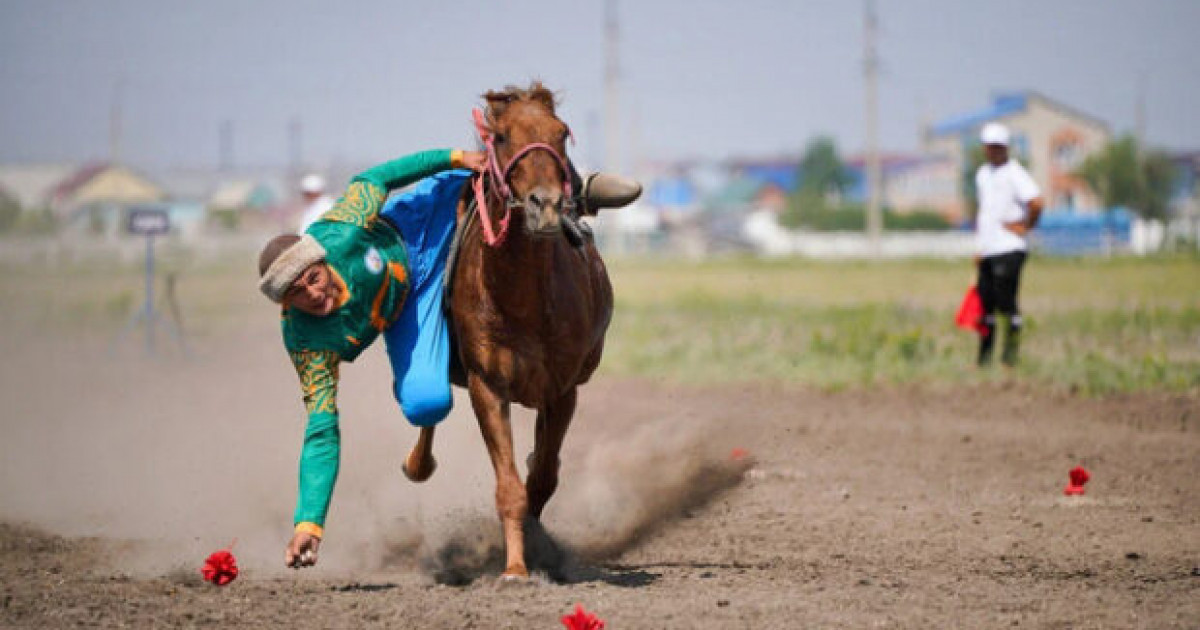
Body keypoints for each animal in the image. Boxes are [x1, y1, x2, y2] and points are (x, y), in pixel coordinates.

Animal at [403, 84, 614, 580]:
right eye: (500, 136)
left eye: (561, 133)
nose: (546, 205)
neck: (527, 301)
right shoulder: (488, 385)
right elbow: (511, 487)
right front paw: (516, 568)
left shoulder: (563, 388)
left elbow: (542, 478)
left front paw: (536, 551)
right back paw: (418, 462)